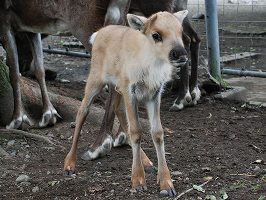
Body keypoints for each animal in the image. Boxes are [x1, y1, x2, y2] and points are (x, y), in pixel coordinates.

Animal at [64, 10, 189, 195]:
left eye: (181, 31)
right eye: (156, 35)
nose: (180, 54)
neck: (150, 68)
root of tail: (97, 34)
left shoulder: (154, 94)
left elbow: (157, 132)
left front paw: (166, 184)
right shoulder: (131, 90)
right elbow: (136, 130)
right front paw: (138, 181)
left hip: (117, 86)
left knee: (117, 109)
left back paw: (147, 162)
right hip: (96, 79)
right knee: (82, 111)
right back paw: (69, 165)